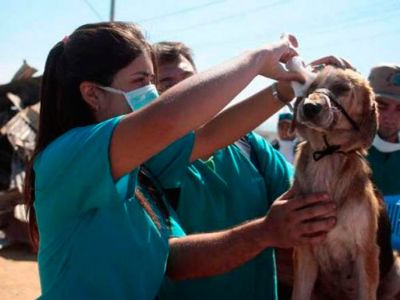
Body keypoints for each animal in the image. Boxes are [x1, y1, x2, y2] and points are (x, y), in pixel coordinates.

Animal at [290, 67, 382, 300]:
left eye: (342, 88)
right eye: (311, 87)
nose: (309, 107)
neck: (327, 156)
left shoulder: (366, 252)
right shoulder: (304, 251)